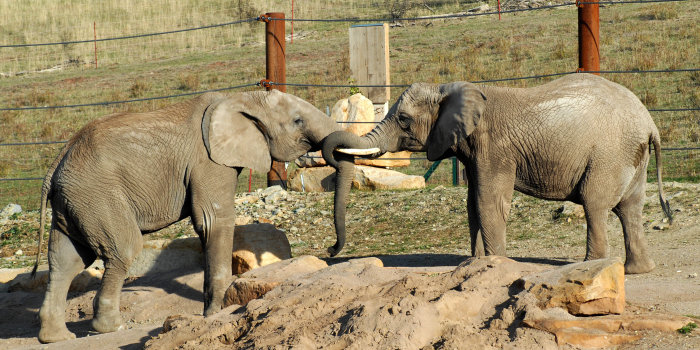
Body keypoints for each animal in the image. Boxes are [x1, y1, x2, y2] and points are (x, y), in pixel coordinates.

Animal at [31, 89, 344, 344]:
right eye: (297, 121)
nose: (331, 249)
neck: (241, 98)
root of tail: (57, 163)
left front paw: (210, 313)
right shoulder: (209, 161)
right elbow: (213, 221)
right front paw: (217, 313)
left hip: (75, 201)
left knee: (66, 260)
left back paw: (56, 337)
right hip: (98, 195)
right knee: (123, 249)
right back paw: (110, 328)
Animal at [322, 74, 672, 274]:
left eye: (404, 120)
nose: (330, 251)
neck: (452, 90)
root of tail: (650, 123)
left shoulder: (495, 147)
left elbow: (489, 201)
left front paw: (494, 266)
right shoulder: (474, 150)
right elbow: (472, 204)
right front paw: (476, 265)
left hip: (608, 154)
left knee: (595, 204)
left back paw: (591, 267)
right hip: (630, 154)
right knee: (630, 208)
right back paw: (638, 270)